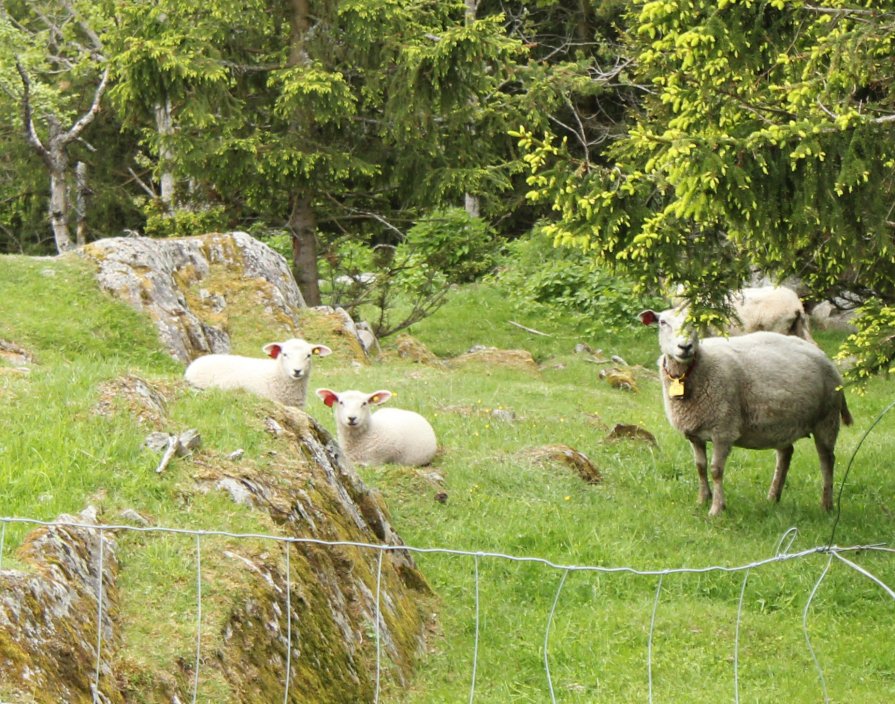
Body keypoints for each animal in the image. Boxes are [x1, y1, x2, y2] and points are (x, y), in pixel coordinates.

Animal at [636, 308, 856, 516]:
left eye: (695, 322)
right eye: (663, 322)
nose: (685, 347)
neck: (694, 369)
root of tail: (824, 356)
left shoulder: (723, 430)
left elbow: (716, 470)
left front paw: (716, 509)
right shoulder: (694, 434)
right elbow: (700, 467)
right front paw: (702, 500)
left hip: (827, 418)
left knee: (827, 460)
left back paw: (826, 505)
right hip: (783, 423)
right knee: (785, 454)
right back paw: (773, 497)